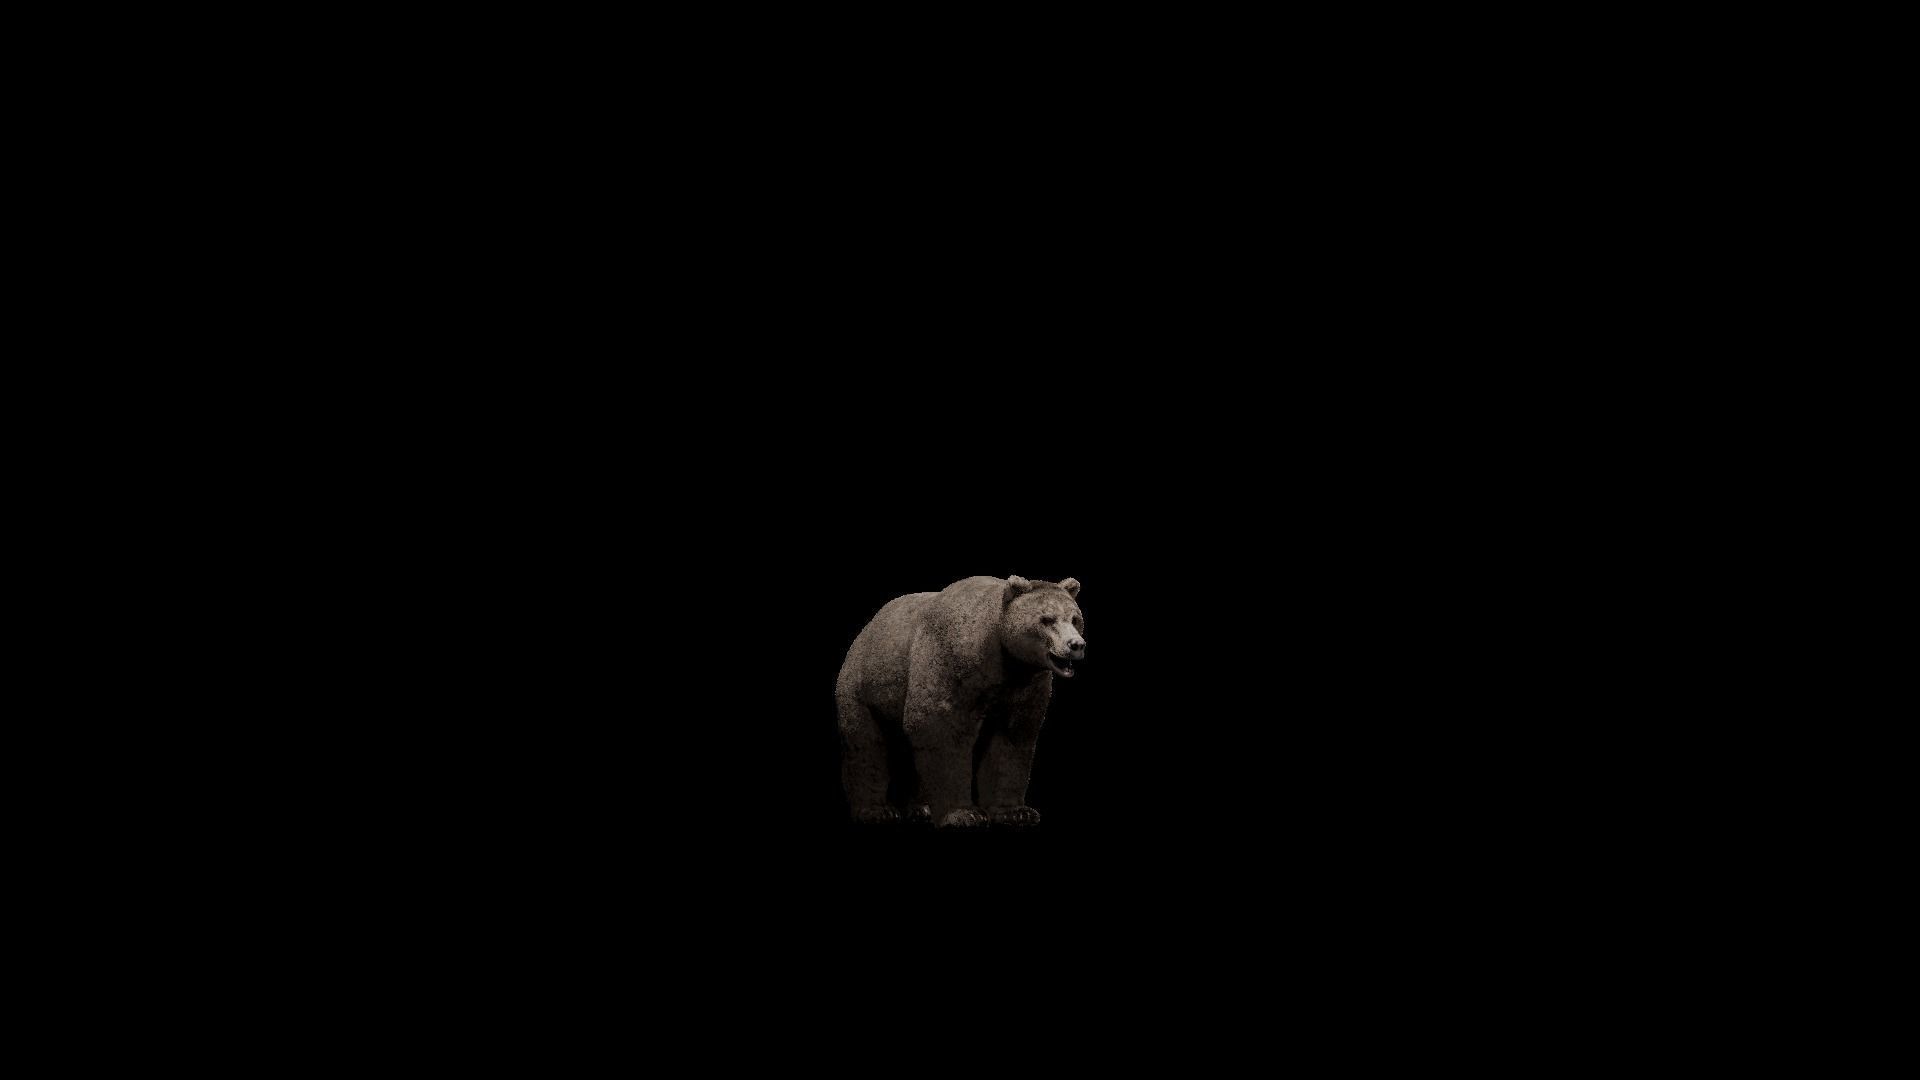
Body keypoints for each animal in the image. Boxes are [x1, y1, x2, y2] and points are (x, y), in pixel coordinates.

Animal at [836, 575, 1085, 829]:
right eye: (1047, 619)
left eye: (1075, 619)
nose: (1076, 644)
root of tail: (866, 630)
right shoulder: (950, 661)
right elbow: (939, 727)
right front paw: (964, 813)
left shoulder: (1025, 687)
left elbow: (1011, 741)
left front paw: (1016, 812)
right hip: (865, 687)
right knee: (866, 745)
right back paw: (877, 810)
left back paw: (919, 808)